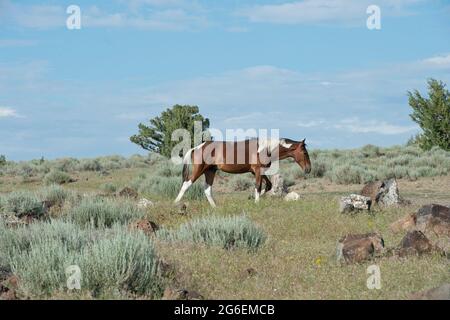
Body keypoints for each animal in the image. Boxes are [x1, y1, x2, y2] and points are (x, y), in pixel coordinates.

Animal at [174, 138, 312, 208]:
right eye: (305, 152)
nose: (308, 169)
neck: (266, 148)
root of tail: (197, 148)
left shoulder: (259, 172)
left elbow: (268, 186)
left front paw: (253, 198)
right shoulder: (258, 171)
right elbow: (258, 187)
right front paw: (256, 202)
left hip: (210, 171)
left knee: (207, 189)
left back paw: (215, 207)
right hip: (200, 170)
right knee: (186, 184)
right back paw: (175, 203)